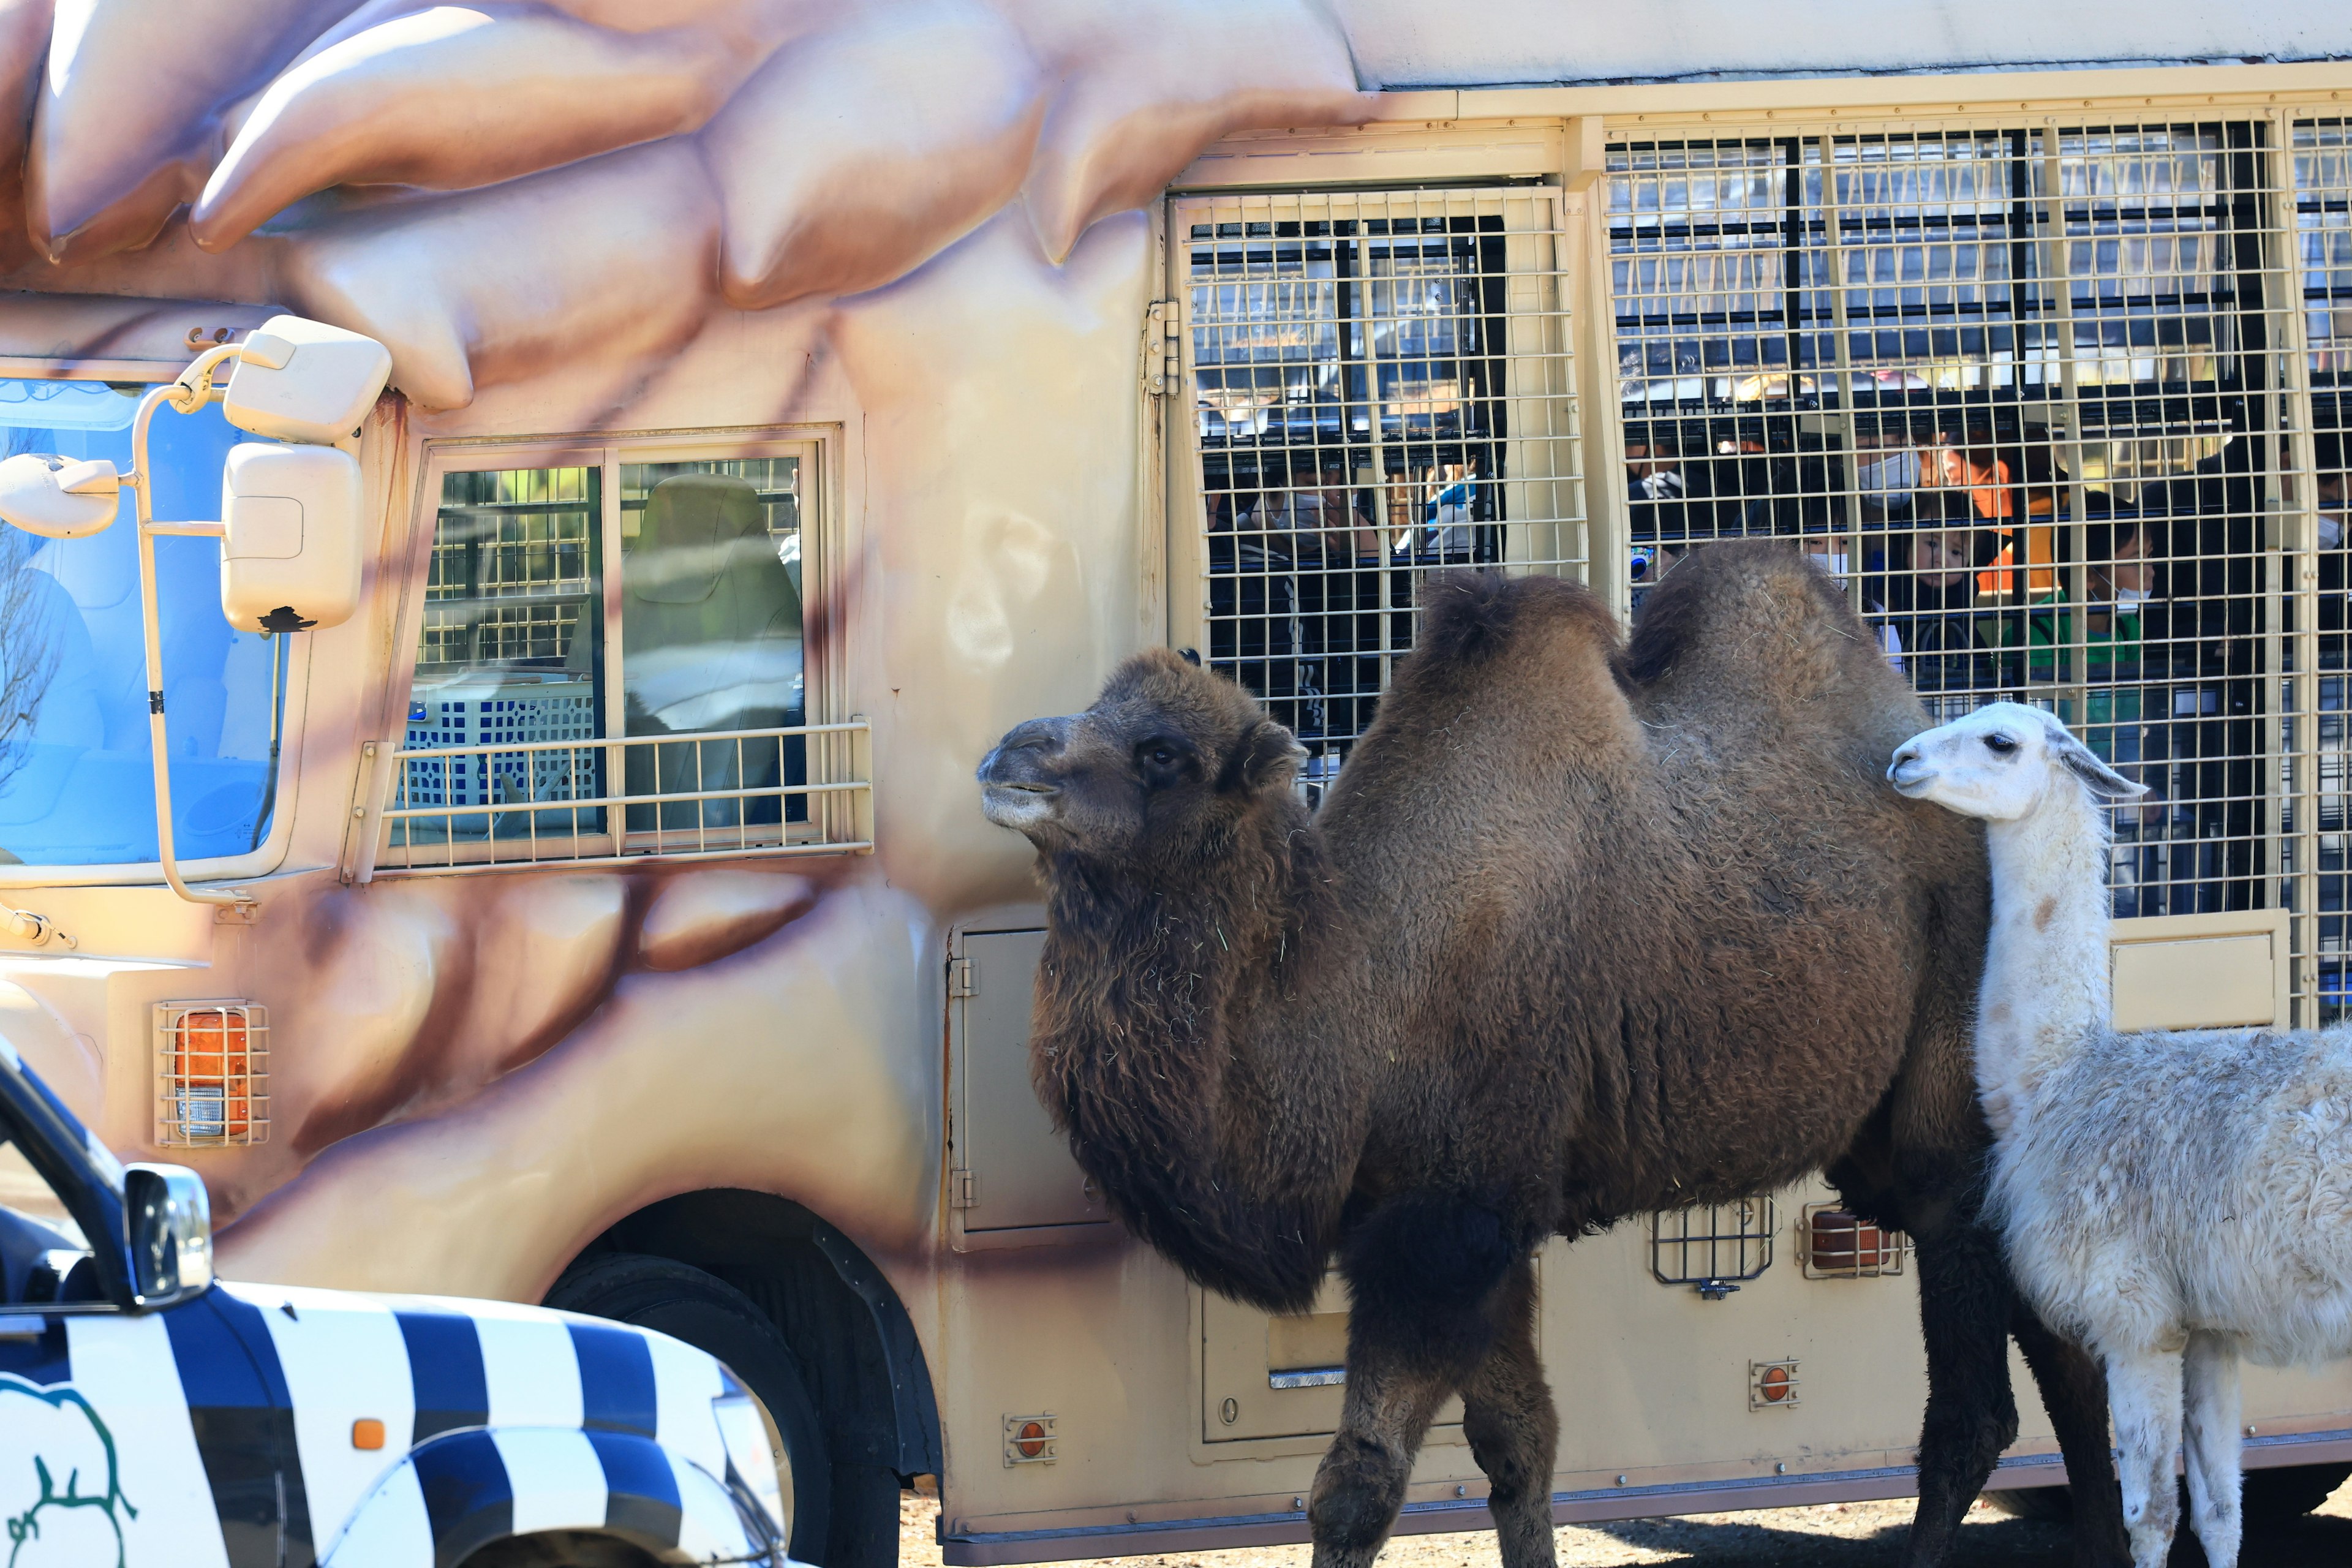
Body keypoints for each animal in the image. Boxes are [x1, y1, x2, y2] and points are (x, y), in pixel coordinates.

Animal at [973, 540, 2135, 1568]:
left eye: (1161, 755)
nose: (1004, 756)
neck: (1360, 992)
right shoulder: (1482, 1217)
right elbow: (1518, 1445)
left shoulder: (1443, 1224)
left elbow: (1359, 1483)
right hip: (1897, 1143)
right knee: (2073, 1360)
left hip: (1950, 1142)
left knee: (1976, 1412)